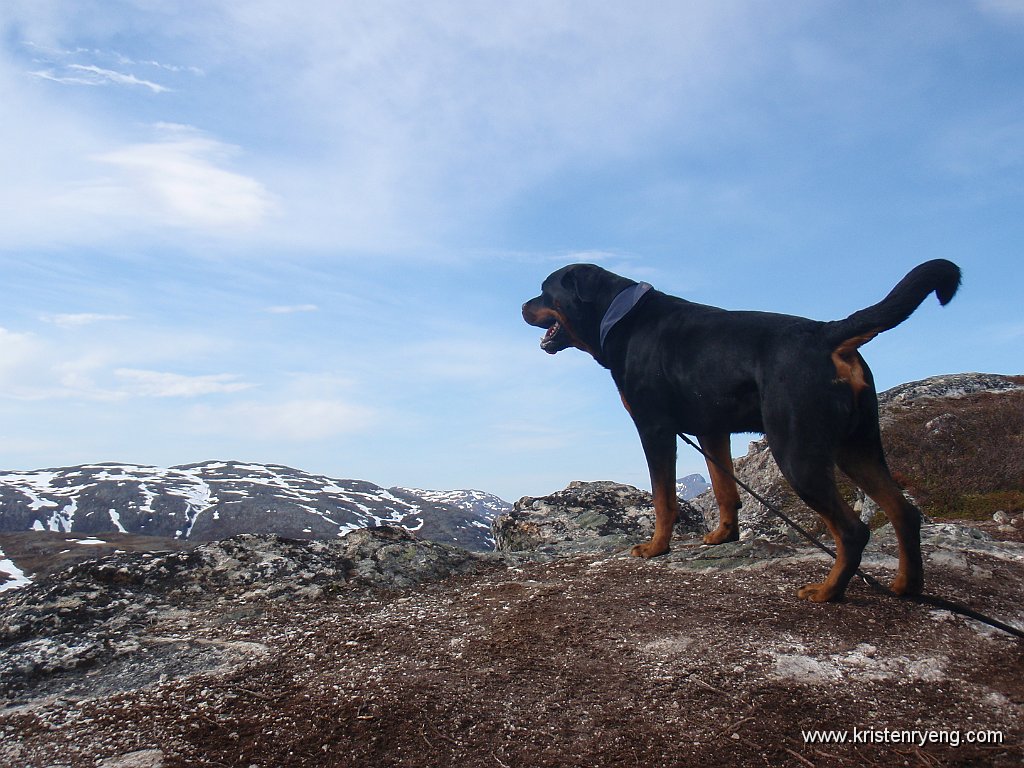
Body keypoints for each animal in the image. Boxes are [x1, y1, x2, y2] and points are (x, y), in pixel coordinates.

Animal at [524, 262, 962, 606]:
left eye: (545, 290)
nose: (522, 305)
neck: (620, 318)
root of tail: (826, 333)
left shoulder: (654, 428)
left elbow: (664, 498)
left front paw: (656, 547)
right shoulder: (712, 430)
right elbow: (724, 490)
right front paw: (724, 535)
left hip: (796, 450)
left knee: (853, 531)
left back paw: (827, 592)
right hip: (858, 446)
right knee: (903, 512)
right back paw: (906, 585)